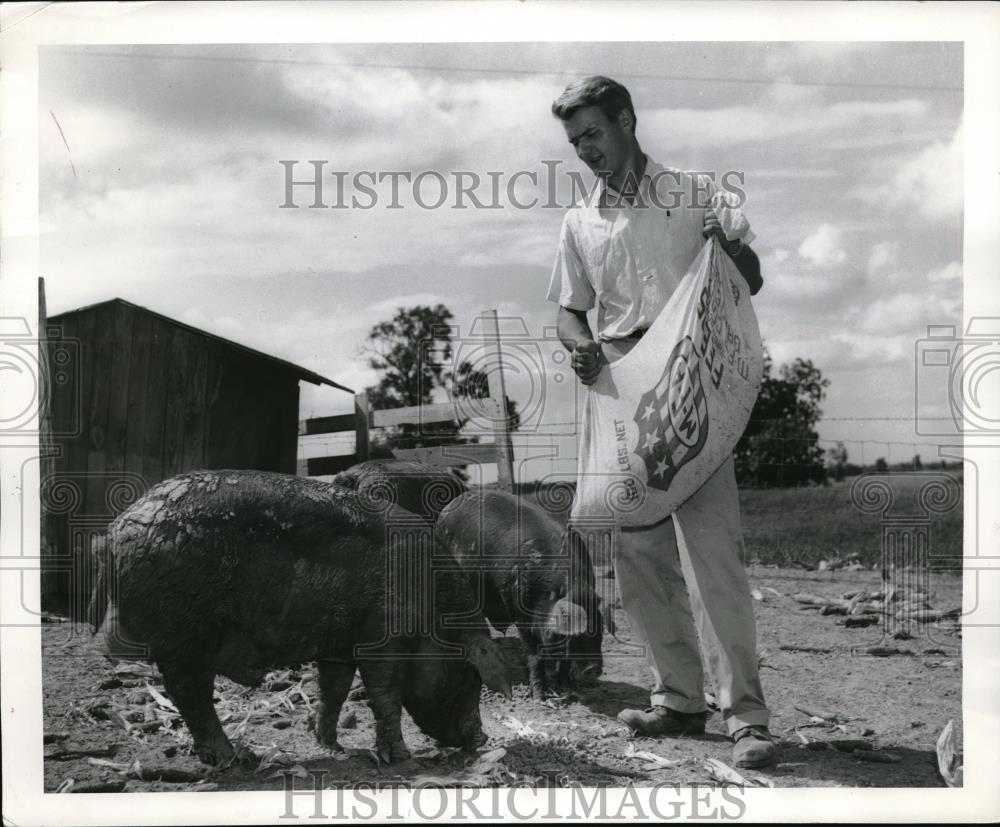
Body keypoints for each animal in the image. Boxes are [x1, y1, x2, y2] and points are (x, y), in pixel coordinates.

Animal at [97, 468, 512, 768]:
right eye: (470, 677)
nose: (483, 739)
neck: (433, 612)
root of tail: (114, 531)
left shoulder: (340, 645)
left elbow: (334, 691)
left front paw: (334, 748)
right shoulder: (383, 636)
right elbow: (385, 696)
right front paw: (405, 762)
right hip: (188, 635)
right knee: (191, 694)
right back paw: (237, 758)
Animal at [436, 492, 600, 700]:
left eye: (599, 627)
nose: (593, 669)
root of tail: (449, 505)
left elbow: (563, 661)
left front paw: (569, 692)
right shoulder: (520, 612)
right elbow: (534, 656)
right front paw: (539, 697)